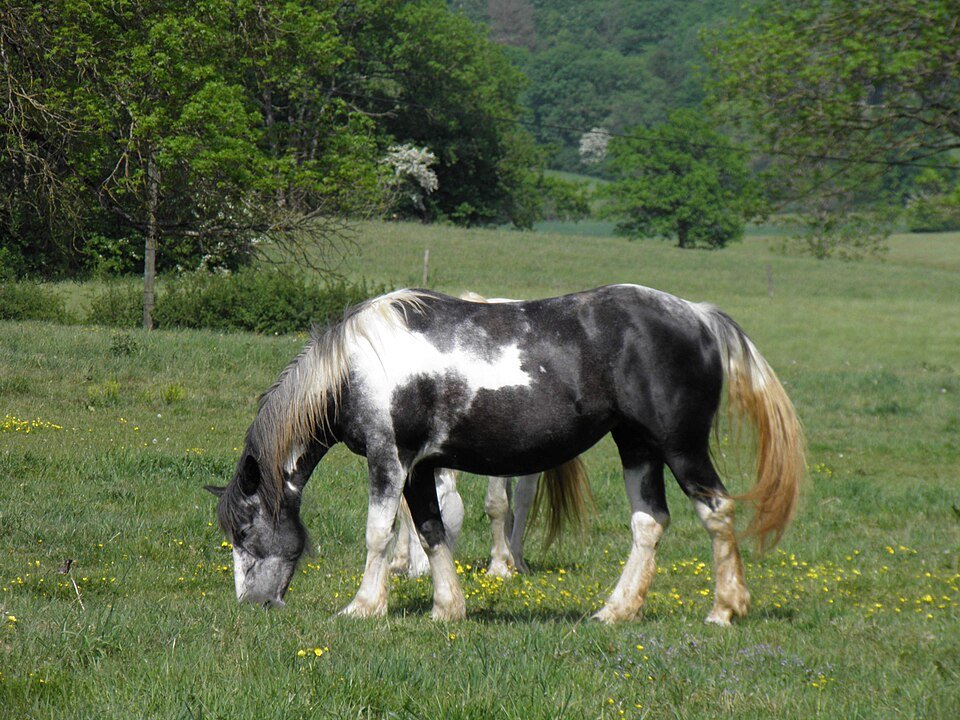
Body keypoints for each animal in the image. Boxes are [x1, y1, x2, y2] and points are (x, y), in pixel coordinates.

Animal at [206, 284, 805, 625]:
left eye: (244, 532)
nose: (251, 603)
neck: (358, 365)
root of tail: (697, 315)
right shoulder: (420, 469)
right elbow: (432, 531)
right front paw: (447, 610)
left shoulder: (388, 459)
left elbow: (378, 535)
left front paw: (363, 607)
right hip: (637, 446)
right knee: (648, 522)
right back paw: (615, 612)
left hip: (680, 448)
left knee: (717, 511)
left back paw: (724, 609)